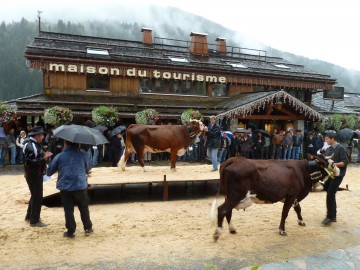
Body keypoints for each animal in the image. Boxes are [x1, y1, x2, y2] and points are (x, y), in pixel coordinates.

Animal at [210, 153, 338, 242]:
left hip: (231, 196)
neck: (303, 170)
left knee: (228, 211)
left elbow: (298, 209)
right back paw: (217, 233)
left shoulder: (294, 197)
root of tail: (234, 159)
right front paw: (282, 230)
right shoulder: (291, 196)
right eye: (328, 163)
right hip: (236, 195)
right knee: (222, 209)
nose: (338, 169)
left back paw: (232, 229)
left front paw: (301, 221)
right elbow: (285, 213)